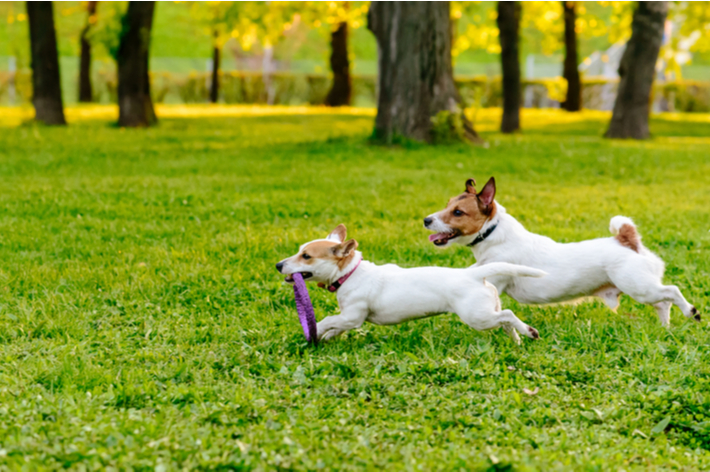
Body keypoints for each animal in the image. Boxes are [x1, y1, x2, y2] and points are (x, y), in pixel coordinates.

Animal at [276, 225, 548, 342]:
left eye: (306, 256)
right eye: (299, 251)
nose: (278, 265)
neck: (351, 273)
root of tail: (473, 275)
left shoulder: (353, 315)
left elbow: (329, 320)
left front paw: (316, 331)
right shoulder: (349, 319)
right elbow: (336, 327)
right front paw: (326, 338)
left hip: (477, 317)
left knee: (508, 314)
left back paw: (529, 332)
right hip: (486, 311)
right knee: (505, 319)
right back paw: (517, 339)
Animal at [422, 175, 700, 326]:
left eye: (458, 212)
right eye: (447, 204)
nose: (426, 220)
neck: (494, 234)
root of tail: (626, 240)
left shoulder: (496, 278)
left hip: (639, 287)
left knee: (672, 292)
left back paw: (691, 312)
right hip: (644, 289)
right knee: (663, 303)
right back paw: (665, 327)